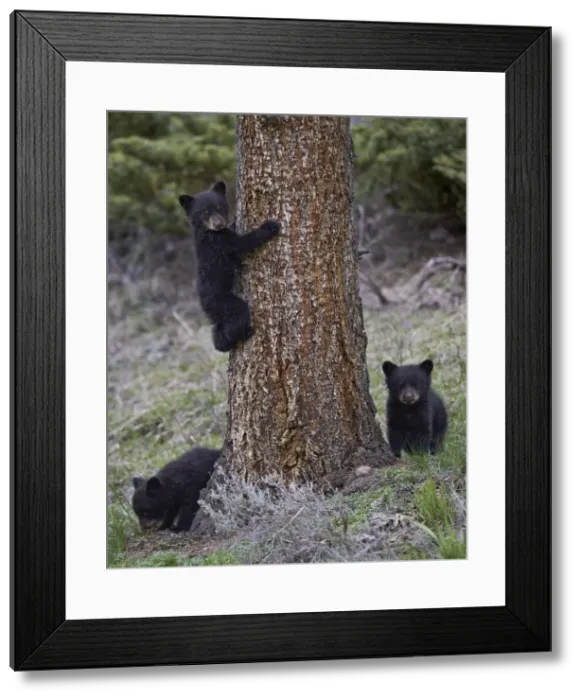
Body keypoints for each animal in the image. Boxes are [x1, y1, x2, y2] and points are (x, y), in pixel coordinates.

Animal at [178, 181, 281, 352]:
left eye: (219, 208)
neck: (207, 232)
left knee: (218, 329)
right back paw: (244, 333)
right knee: (238, 316)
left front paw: (233, 220)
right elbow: (243, 243)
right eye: (205, 213)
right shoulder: (220, 241)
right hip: (223, 302)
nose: (219, 223)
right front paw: (270, 226)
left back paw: (222, 344)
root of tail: (204, 305)